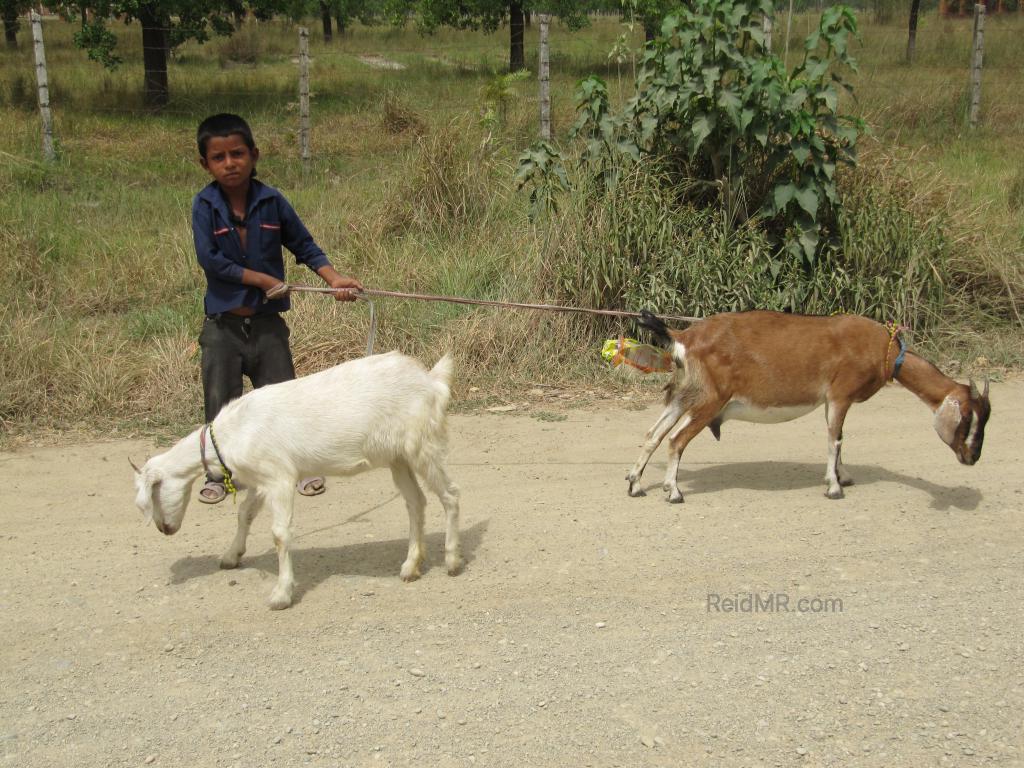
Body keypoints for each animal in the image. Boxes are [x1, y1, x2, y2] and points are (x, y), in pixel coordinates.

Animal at [134, 352, 462, 610]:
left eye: (151, 496)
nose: (165, 529)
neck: (232, 433)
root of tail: (432, 380)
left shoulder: (279, 478)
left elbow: (280, 534)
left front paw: (281, 594)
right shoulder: (262, 479)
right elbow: (244, 513)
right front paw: (231, 555)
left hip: (423, 445)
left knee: (450, 494)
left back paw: (452, 560)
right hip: (398, 457)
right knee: (415, 502)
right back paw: (410, 566)